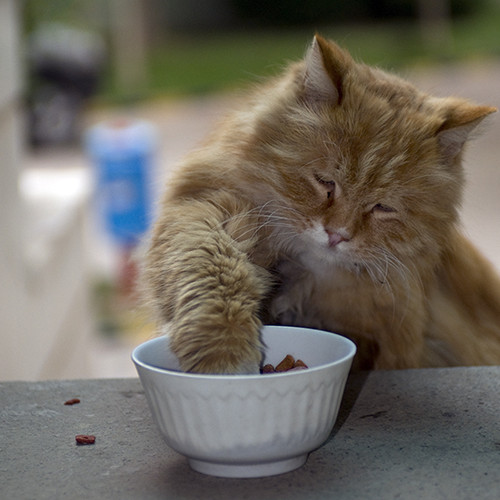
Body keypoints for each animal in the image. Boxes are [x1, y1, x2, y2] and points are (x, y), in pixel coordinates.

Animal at [142, 35, 500, 372]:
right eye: (326, 182)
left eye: (383, 208)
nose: (336, 234)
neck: (302, 275)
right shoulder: (211, 207)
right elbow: (211, 268)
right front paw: (224, 351)